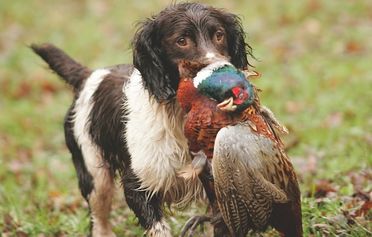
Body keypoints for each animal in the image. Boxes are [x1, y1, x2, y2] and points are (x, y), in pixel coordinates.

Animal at [32, 2, 253, 237]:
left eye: (219, 35)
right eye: (181, 41)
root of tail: (89, 76)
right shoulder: (138, 186)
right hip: (94, 174)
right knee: (99, 218)